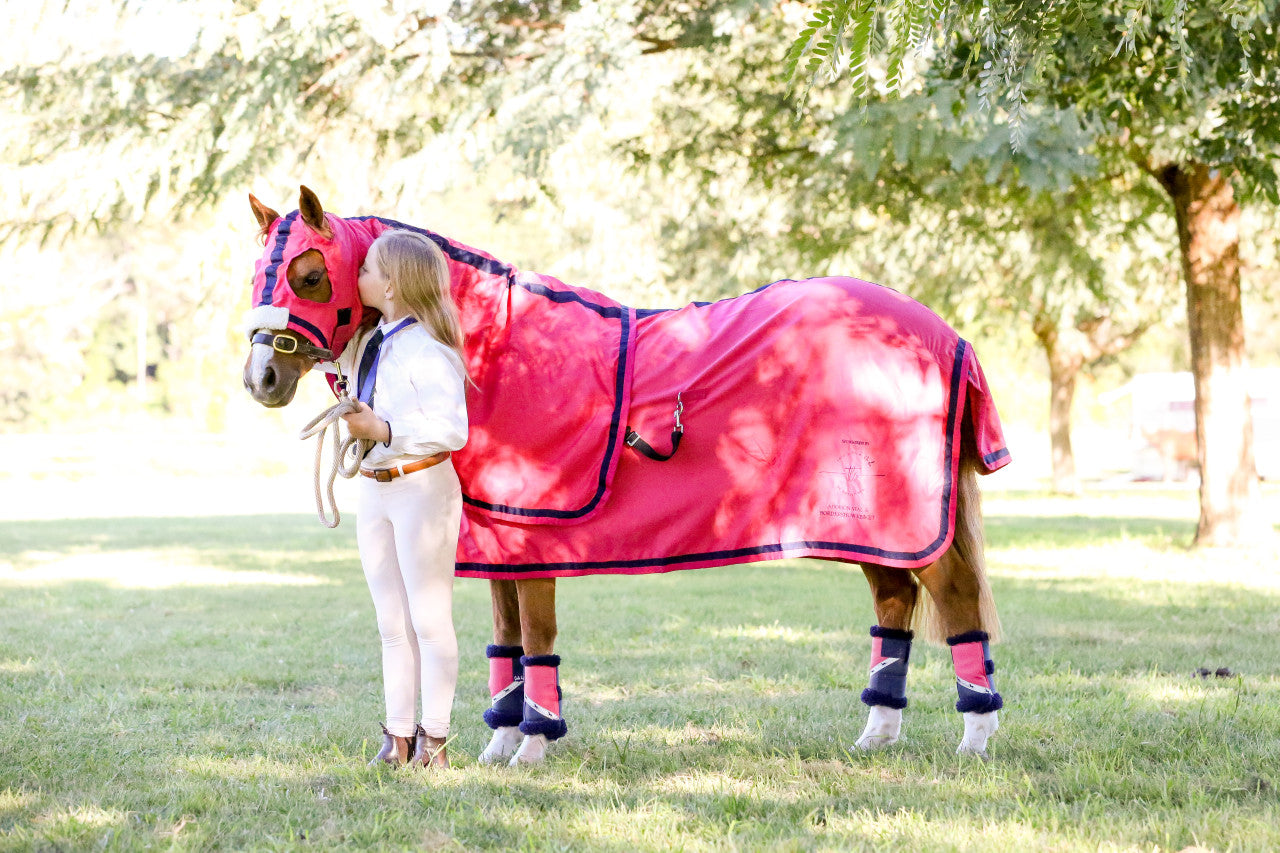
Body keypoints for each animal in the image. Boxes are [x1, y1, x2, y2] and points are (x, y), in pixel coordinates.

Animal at [244, 185, 1013, 763]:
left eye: (309, 274)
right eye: (258, 274)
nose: (261, 378)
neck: (497, 353)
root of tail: (944, 334)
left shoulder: (537, 540)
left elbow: (538, 641)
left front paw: (532, 747)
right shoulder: (499, 543)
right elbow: (506, 640)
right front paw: (498, 746)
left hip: (912, 525)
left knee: (958, 602)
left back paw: (976, 739)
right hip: (871, 527)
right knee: (894, 603)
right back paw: (877, 735)